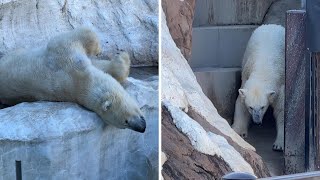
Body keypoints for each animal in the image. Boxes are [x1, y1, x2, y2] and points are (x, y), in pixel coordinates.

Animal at [0, 27, 146, 132]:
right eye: (125, 122)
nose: (142, 128)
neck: (78, 84)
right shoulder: (66, 60)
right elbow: (80, 35)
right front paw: (106, 51)